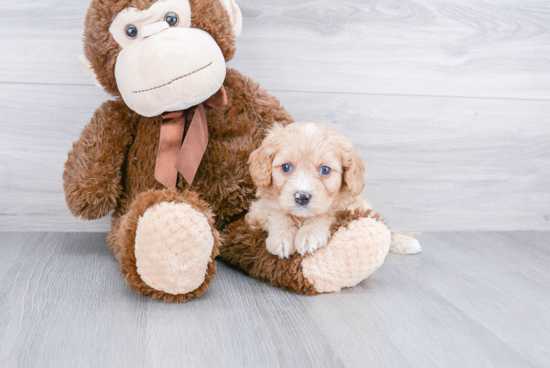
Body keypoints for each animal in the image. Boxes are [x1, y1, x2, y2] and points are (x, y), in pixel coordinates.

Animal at [248, 122, 424, 258]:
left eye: (325, 170)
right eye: (286, 167)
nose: (301, 197)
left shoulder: (349, 208)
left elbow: (327, 213)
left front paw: (309, 233)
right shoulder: (257, 211)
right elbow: (278, 212)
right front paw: (282, 237)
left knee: (386, 231)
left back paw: (407, 242)